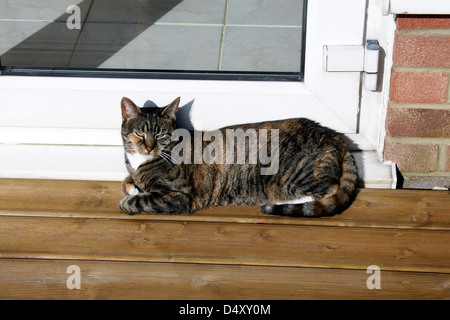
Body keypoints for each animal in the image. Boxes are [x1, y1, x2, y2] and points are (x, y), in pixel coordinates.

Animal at [118, 97, 358, 218]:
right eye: (139, 133)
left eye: (160, 135)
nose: (149, 148)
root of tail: (334, 136)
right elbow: (126, 182)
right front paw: (133, 186)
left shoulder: (179, 195)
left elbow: (135, 201)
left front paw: (131, 198)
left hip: (289, 177)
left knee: (330, 188)